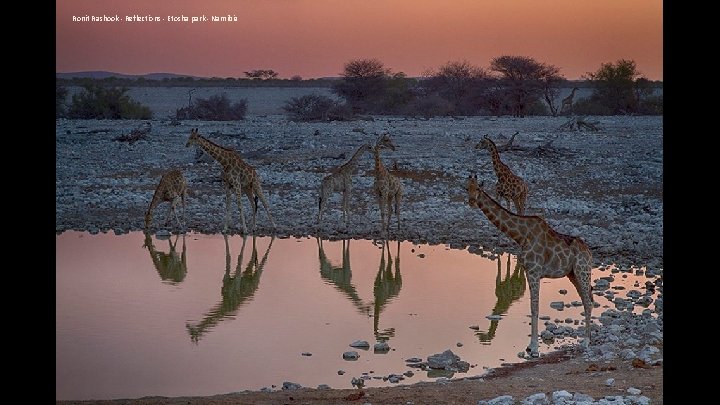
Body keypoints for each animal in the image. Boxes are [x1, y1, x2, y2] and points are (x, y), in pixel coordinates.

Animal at [464, 175, 592, 356]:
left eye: (478, 189)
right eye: (466, 188)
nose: (471, 201)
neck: (521, 236)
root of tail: (589, 252)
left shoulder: (534, 271)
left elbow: (535, 307)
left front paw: (534, 348)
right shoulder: (527, 271)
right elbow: (532, 307)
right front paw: (531, 346)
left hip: (582, 271)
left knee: (588, 301)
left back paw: (586, 342)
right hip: (573, 274)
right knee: (586, 299)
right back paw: (586, 340)